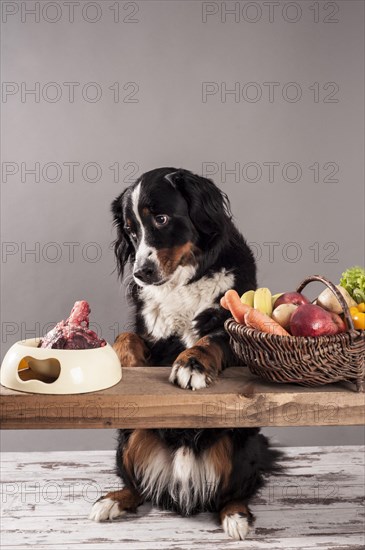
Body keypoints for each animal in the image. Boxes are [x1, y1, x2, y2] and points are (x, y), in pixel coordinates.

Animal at [89, 166, 278, 540]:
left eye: (161, 219)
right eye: (131, 231)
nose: (141, 272)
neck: (182, 283)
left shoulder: (238, 334)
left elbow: (213, 340)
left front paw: (191, 365)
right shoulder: (152, 337)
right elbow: (126, 336)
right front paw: (124, 361)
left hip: (241, 442)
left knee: (235, 491)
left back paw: (237, 518)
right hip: (130, 436)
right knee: (137, 485)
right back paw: (112, 501)